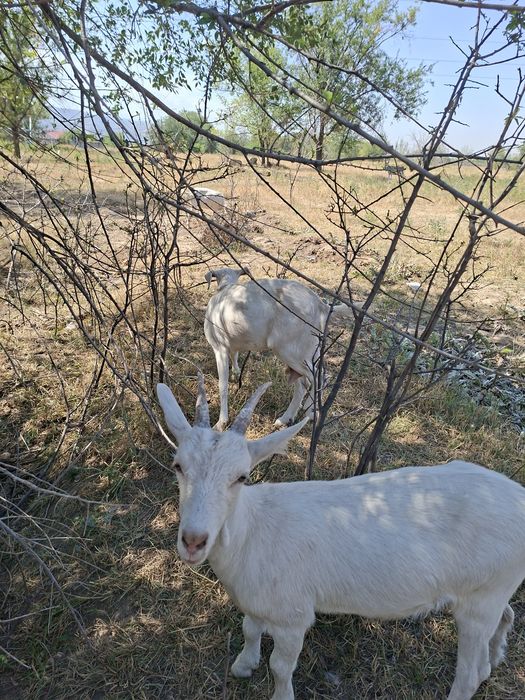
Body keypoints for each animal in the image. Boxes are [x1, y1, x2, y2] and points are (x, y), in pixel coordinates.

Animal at [156, 378, 525, 700]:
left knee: (470, 675)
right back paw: (495, 659)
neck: (255, 530)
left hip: (480, 600)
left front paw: (280, 694)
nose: (193, 540)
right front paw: (244, 666)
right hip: (491, 591)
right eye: (178, 466)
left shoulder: (293, 615)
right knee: (505, 618)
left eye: (242, 477)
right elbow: (249, 629)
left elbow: (280, 666)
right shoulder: (257, 601)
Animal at [204, 268, 358, 430]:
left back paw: (310, 412)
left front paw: (221, 423)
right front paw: (236, 373)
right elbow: (234, 357)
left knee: (317, 378)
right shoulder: (232, 345)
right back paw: (287, 418)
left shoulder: (219, 347)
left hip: (290, 351)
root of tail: (322, 306)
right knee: (307, 382)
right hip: (309, 351)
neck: (225, 288)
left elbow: (222, 385)